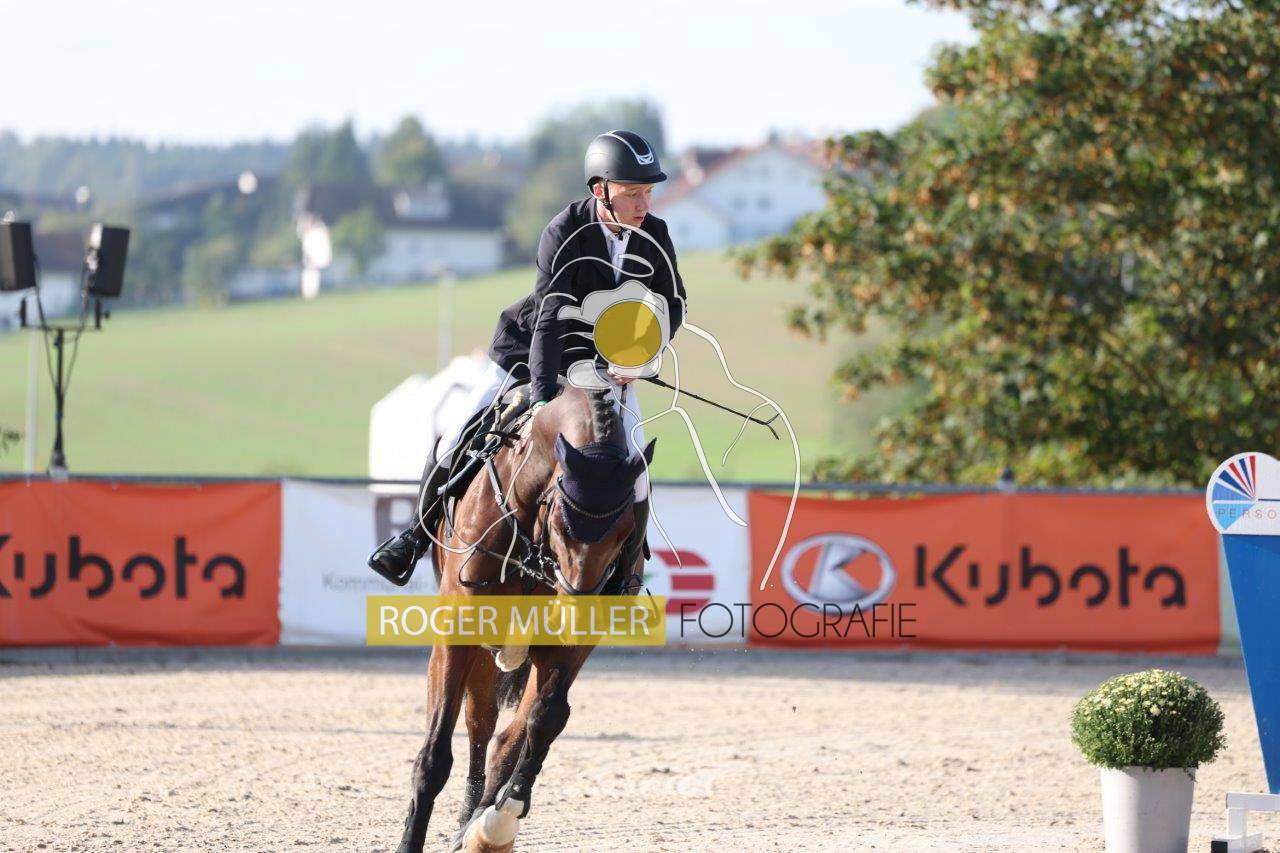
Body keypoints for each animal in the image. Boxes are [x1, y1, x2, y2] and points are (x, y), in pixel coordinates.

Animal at [394, 383, 655, 853]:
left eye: (628, 530)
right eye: (561, 522)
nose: (577, 615)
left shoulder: (565, 650)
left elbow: (545, 717)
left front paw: (504, 813)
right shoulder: (457, 636)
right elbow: (435, 753)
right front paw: (411, 840)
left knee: (504, 737)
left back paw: (480, 823)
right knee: (480, 722)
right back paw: (470, 815)